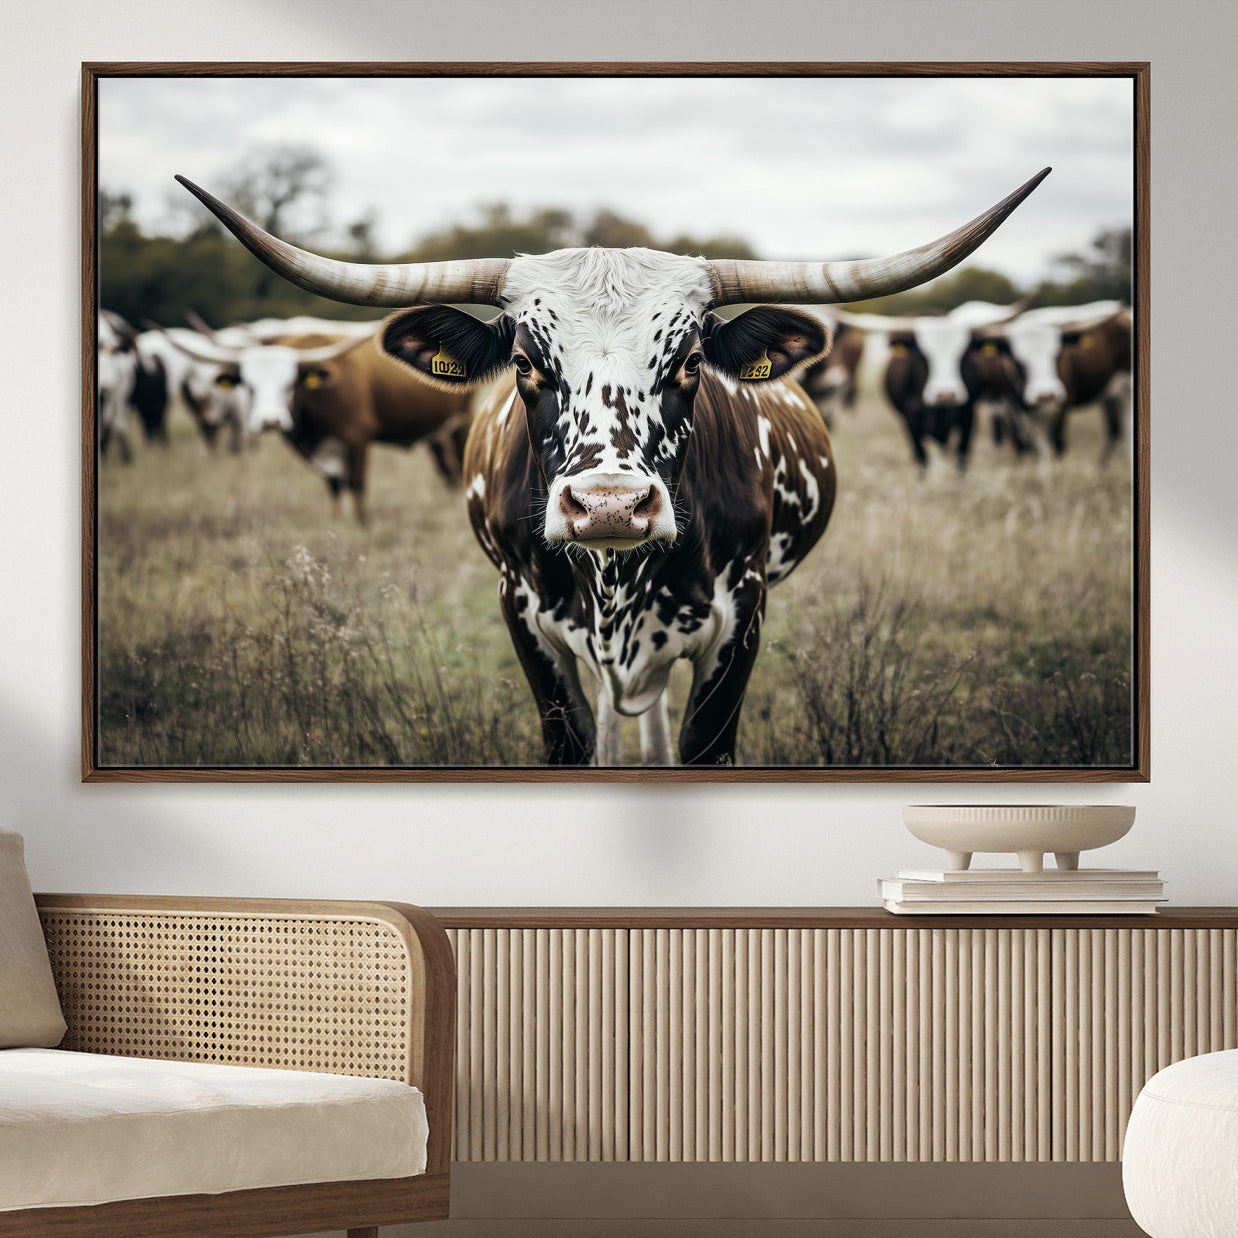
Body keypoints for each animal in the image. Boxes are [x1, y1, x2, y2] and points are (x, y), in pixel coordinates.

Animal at [161, 323, 475, 523]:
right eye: (248, 385)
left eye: (290, 384)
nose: (270, 421)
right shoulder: (320, 451)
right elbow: (333, 486)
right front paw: (337, 523)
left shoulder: (357, 438)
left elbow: (356, 485)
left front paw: (362, 525)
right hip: (436, 430)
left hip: (462, 424)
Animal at [975, 301, 1132, 463]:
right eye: (1018, 360)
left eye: (1059, 355)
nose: (1046, 394)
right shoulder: (1016, 411)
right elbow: (1036, 448)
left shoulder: (1062, 407)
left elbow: (1057, 445)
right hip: (1111, 398)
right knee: (1114, 431)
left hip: (1127, 391)